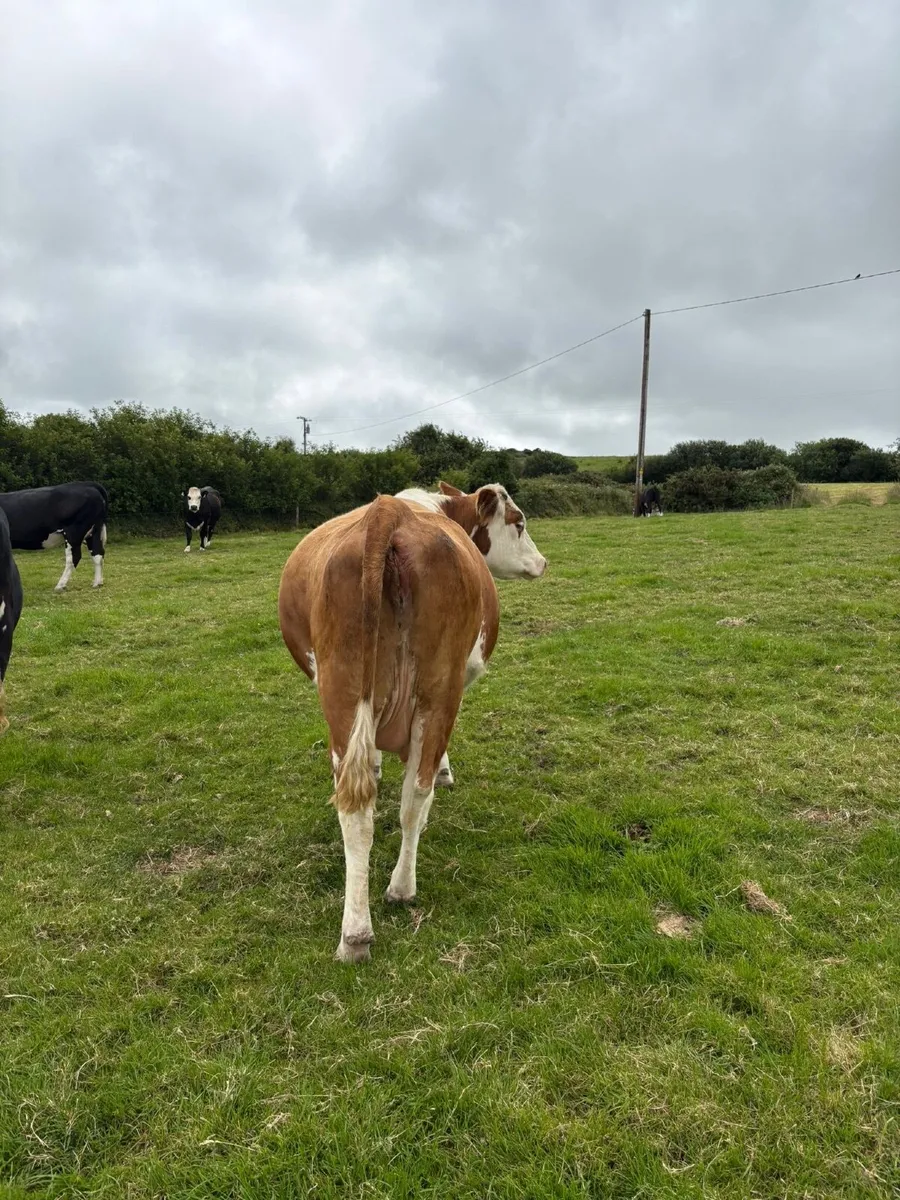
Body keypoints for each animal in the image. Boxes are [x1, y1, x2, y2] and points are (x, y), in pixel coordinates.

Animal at [278, 486, 546, 963]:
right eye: (519, 522)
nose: (543, 562)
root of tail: (389, 512)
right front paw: (444, 771)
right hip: (440, 689)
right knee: (414, 795)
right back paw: (402, 887)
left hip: (344, 692)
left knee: (356, 808)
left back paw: (355, 933)